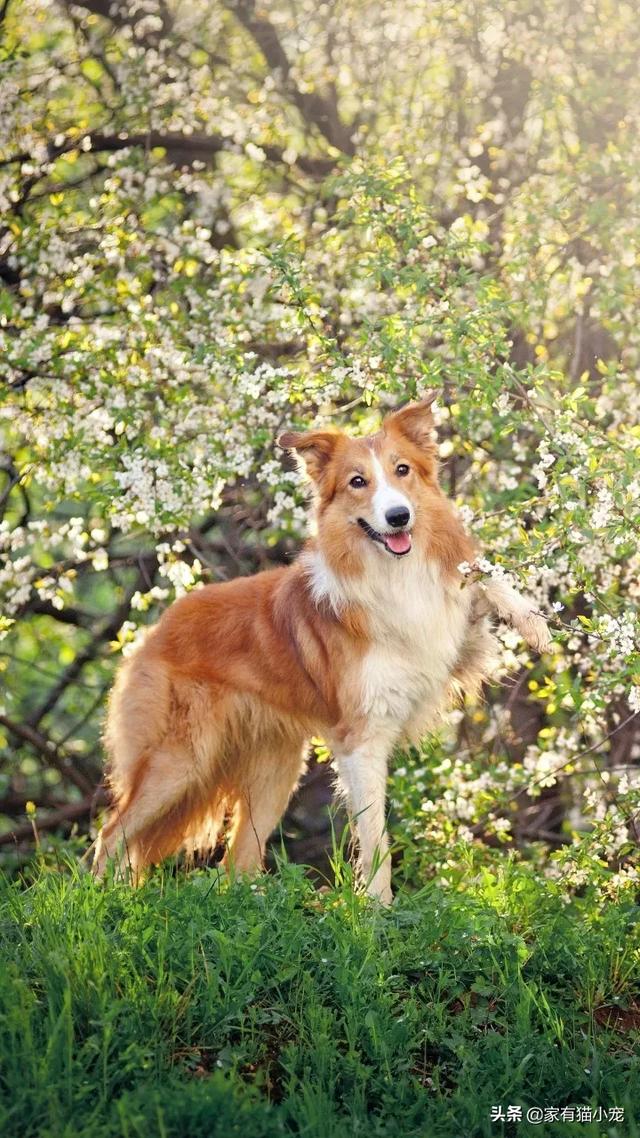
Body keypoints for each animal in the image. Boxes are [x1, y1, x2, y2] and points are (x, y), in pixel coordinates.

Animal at [92, 396, 546, 901]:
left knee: (236, 862)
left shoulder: (451, 639)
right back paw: (106, 903)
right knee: (110, 836)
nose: (399, 517)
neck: (392, 573)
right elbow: (377, 841)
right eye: (357, 482)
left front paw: (531, 619)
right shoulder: (361, 737)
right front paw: (378, 910)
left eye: (403, 470)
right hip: (179, 761)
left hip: (275, 770)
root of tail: (153, 631)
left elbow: (481, 575)